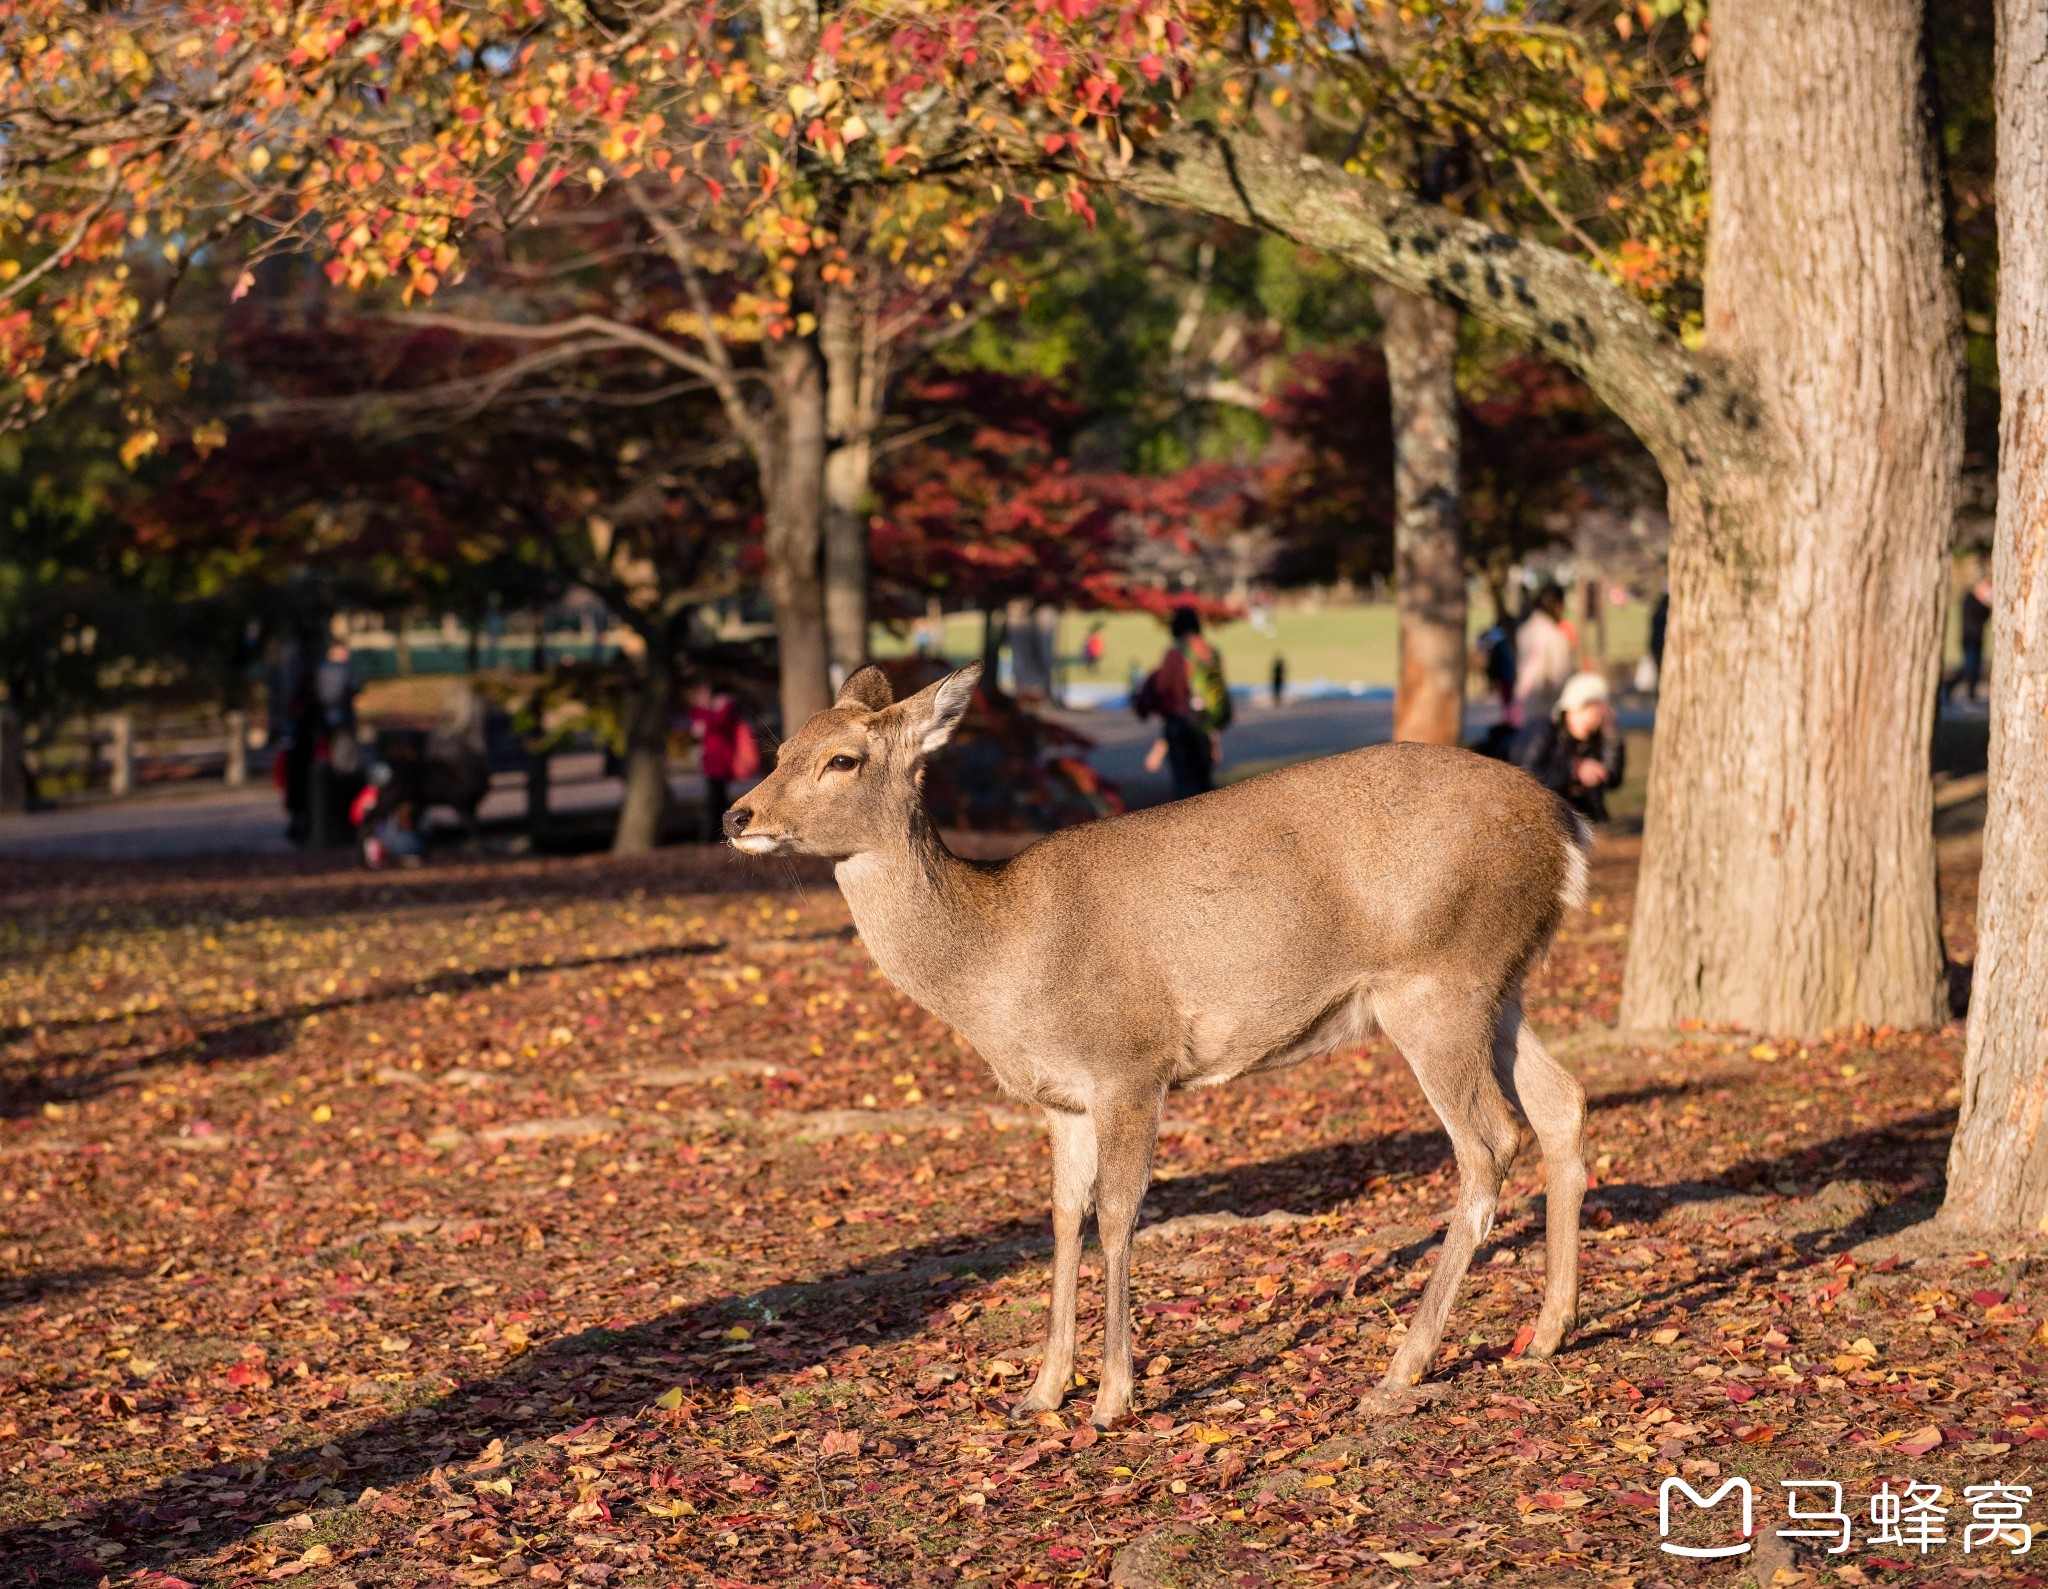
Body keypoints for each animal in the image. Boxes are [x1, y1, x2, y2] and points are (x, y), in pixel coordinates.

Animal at [729, 659, 1589, 1425]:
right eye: (780, 748)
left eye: (843, 758)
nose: (740, 815)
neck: (998, 961)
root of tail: (1566, 829)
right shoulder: (1062, 1099)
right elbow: (1063, 1216)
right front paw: (1041, 1390)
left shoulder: (1130, 1062)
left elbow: (1117, 1213)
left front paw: (1113, 1396)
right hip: (1498, 986)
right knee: (1562, 1101)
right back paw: (1547, 1332)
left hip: (1436, 979)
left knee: (1490, 1140)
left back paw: (1403, 1365)